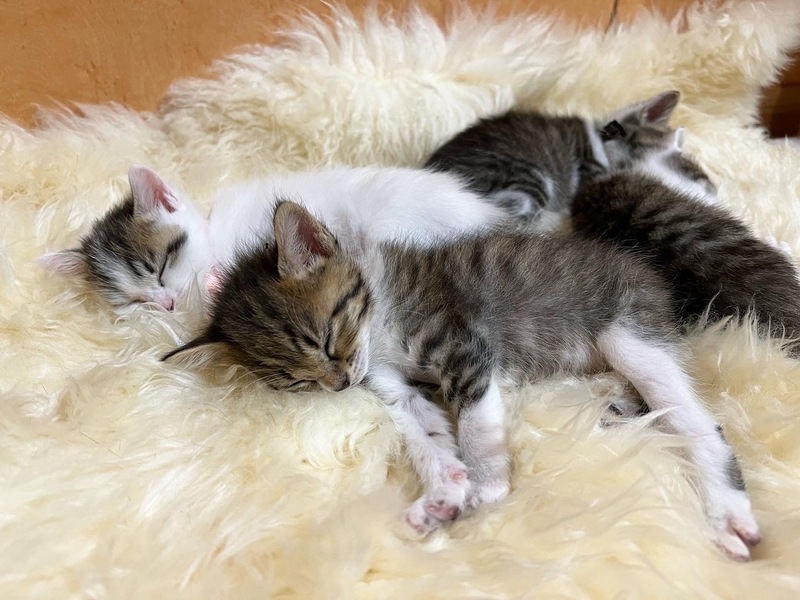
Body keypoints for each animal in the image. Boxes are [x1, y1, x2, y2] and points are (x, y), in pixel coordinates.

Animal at [164, 200, 761, 562]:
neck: (380, 319)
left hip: (628, 330)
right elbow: (423, 431)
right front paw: (443, 491)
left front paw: (483, 487)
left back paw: (729, 515)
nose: (339, 383)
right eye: (293, 381)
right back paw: (608, 402)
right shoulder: (392, 384)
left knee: (698, 423)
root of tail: (646, 270)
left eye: (327, 337)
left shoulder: (463, 347)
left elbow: (475, 424)